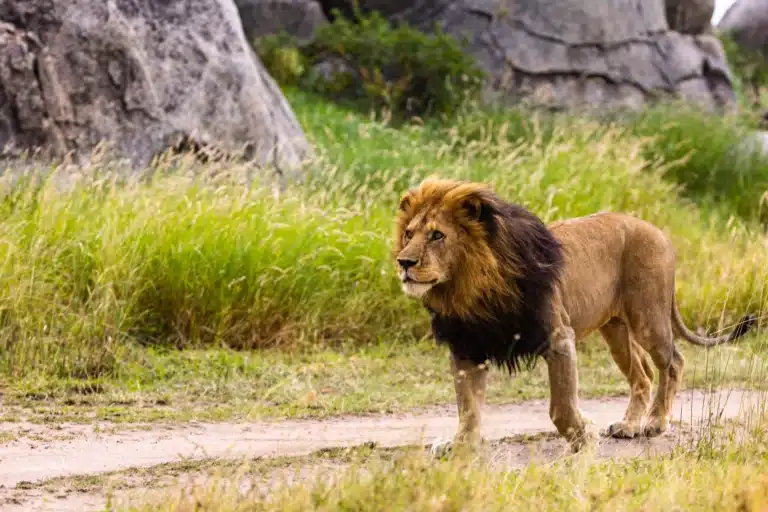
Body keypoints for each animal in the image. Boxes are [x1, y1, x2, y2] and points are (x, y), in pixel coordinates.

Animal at [392, 178, 756, 453]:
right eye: (409, 234)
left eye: (437, 235)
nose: (404, 262)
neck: (472, 289)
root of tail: (658, 231)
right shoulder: (467, 348)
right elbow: (467, 408)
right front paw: (460, 444)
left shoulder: (558, 338)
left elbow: (561, 406)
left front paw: (583, 438)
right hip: (615, 331)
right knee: (642, 375)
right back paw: (628, 425)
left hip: (648, 320)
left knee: (673, 363)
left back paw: (654, 423)